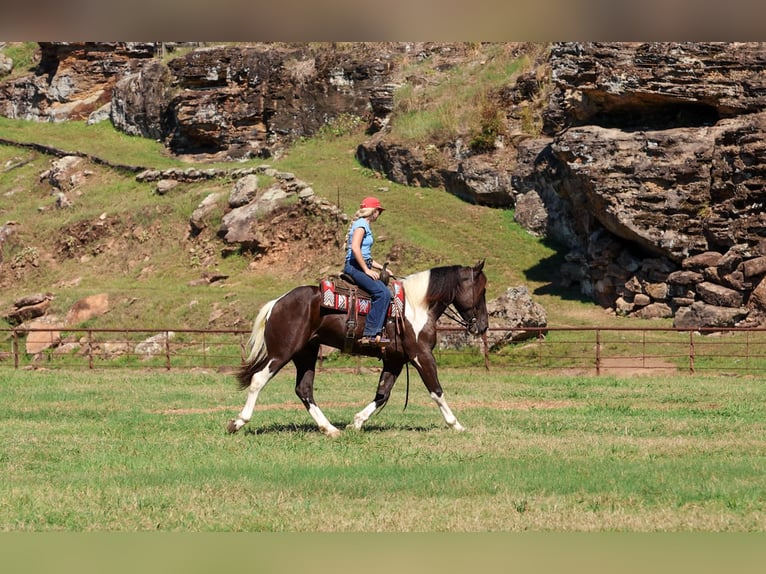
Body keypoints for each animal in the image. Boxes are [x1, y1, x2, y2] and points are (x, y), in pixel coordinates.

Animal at [226, 260, 488, 437]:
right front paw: (456, 424)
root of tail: (277, 303)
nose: (483, 326)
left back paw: (330, 429)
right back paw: (238, 422)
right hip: (282, 352)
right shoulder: (421, 355)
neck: (416, 306)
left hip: (306, 353)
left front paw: (357, 422)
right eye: (482, 290)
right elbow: (436, 390)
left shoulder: (395, 360)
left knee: (304, 389)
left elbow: (382, 394)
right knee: (258, 380)